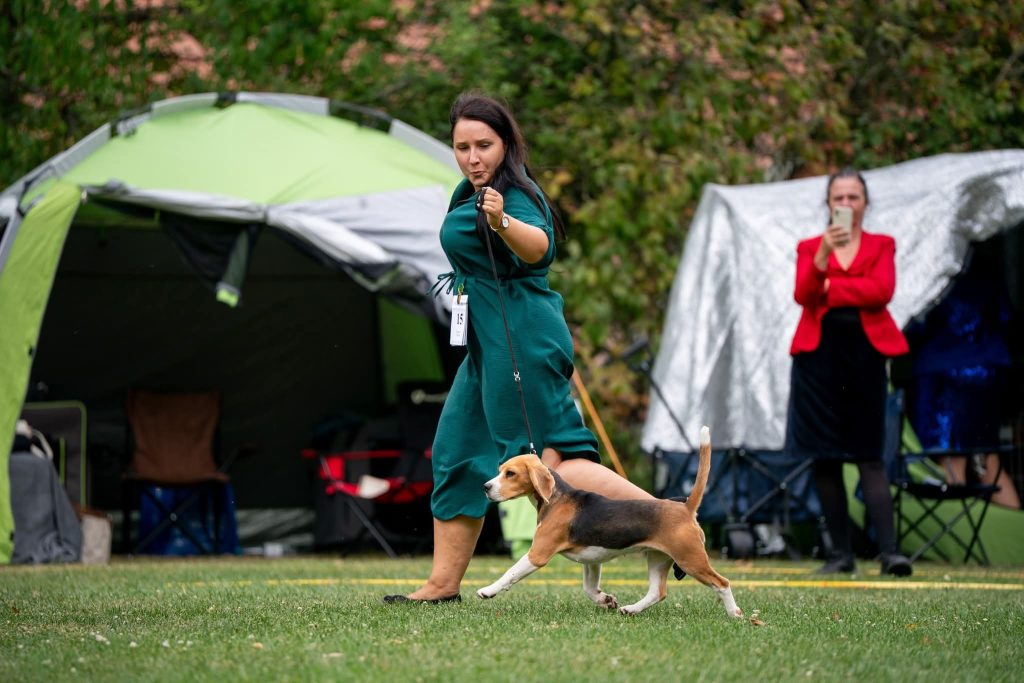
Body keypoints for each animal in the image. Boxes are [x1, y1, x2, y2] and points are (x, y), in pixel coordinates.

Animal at [478, 426, 742, 618]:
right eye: (501, 470)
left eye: (510, 474)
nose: (485, 487)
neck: (556, 497)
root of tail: (685, 507)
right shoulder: (591, 560)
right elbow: (589, 587)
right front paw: (605, 600)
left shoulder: (538, 553)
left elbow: (510, 573)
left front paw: (488, 591)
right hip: (658, 558)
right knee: (657, 592)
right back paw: (631, 609)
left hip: (691, 559)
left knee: (722, 582)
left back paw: (735, 614)